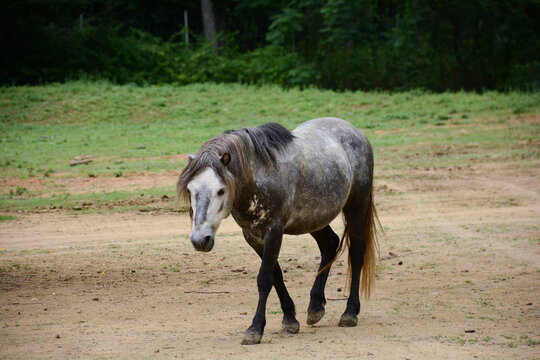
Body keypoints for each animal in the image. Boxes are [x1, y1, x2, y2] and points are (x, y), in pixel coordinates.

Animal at [177, 116, 380, 344]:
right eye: (190, 190)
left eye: (221, 190)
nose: (199, 240)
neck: (258, 175)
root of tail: (357, 132)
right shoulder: (253, 236)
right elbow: (276, 275)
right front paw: (290, 319)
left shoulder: (274, 231)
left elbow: (264, 279)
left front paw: (255, 328)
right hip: (313, 217)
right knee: (330, 244)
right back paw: (315, 307)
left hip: (355, 208)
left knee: (356, 253)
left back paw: (350, 312)